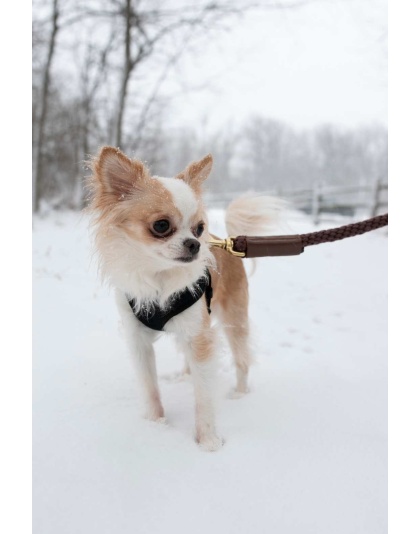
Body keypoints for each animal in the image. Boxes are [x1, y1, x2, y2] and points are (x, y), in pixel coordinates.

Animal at [87, 147, 280, 452]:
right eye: (161, 225)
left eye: (199, 228)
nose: (196, 243)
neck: (160, 277)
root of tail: (227, 241)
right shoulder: (138, 340)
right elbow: (150, 387)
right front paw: (155, 425)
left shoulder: (200, 337)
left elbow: (204, 396)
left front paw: (208, 441)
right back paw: (185, 377)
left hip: (234, 319)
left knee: (241, 359)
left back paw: (239, 394)